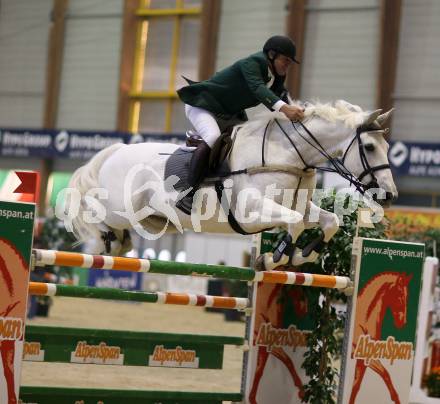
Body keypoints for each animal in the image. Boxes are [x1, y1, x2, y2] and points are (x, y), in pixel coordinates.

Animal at [66, 100, 398, 268]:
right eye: (369, 147)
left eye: (386, 145)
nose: (389, 195)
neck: (289, 154)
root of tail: (115, 150)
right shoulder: (251, 212)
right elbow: (294, 224)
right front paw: (273, 258)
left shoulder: (299, 206)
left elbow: (328, 222)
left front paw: (304, 255)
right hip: (119, 208)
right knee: (98, 215)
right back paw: (104, 239)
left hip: (151, 218)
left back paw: (118, 243)